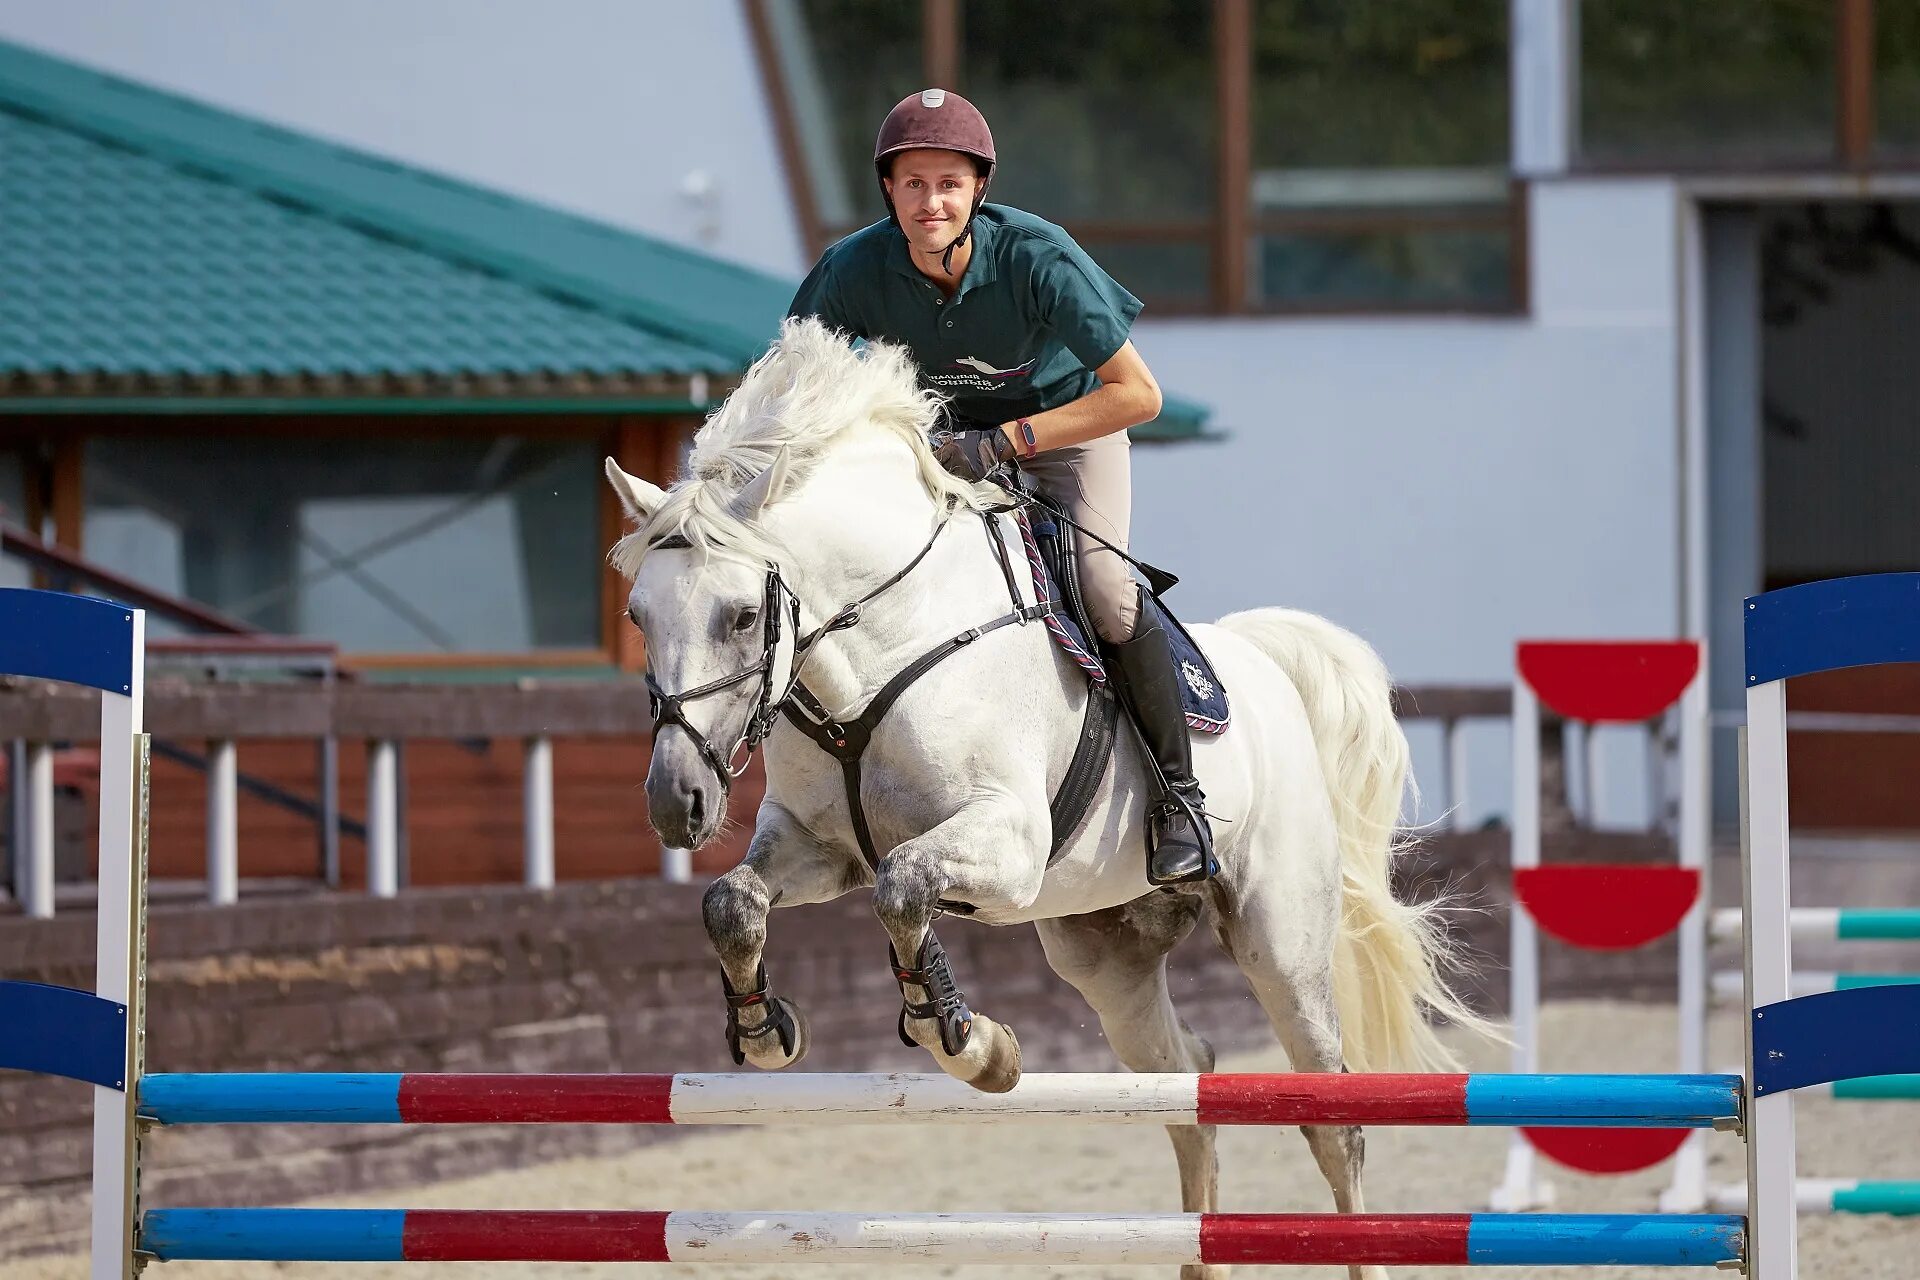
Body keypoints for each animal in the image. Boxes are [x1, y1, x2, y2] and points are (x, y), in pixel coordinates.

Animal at [606, 318, 1474, 1280]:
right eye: (639, 616)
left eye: (742, 616)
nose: (675, 803)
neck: (877, 645)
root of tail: (1260, 663)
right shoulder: (817, 847)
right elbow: (736, 901)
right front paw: (763, 1031)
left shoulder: (1006, 841)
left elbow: (903, 889)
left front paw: (973, 1043)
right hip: (1106, 956)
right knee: (1184, 1080)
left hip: (1280, 939)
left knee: (1330, 1119)